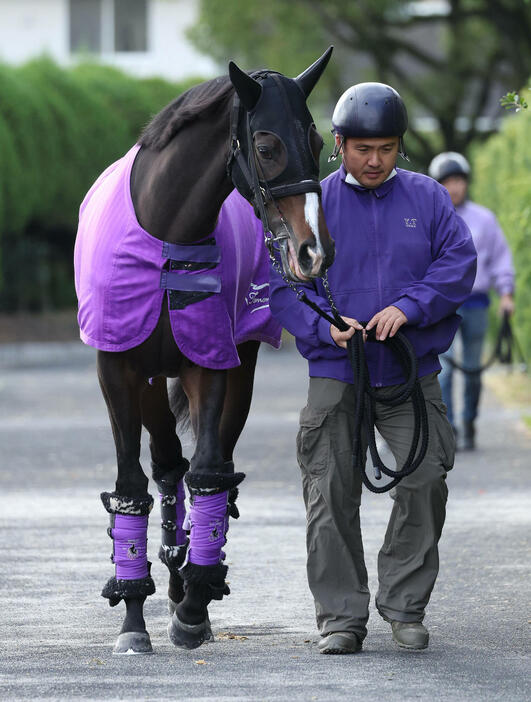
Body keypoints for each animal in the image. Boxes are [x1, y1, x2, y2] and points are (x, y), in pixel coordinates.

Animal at [72, 48, 334, 656]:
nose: (313, 251)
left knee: (208, 467)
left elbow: (211, 472)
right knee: (168, 466)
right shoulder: (119, 368)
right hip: (149, 382)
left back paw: (190, 574)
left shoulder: (212, 358)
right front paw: (133, 617)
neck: (166, 231)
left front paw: (194, 603)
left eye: (316, 140)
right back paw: (169, 564)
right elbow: (131, 486)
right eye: (266, 145)